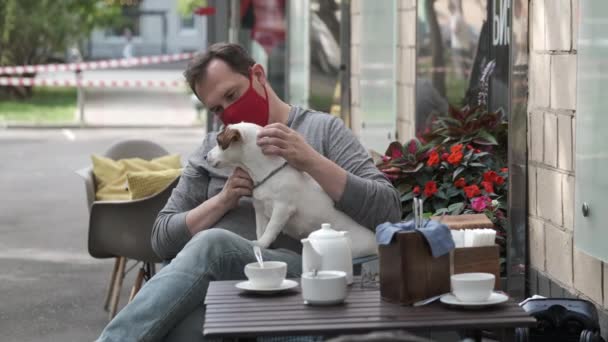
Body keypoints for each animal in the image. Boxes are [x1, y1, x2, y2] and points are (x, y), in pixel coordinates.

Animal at [207, 121, 378, 258]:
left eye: (219, 141)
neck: (267, 172)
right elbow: (261, 229)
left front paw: (261, 244)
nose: (206, 157)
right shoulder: (260, 209)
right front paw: (261, 243)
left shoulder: (282, 209)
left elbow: (270, 229)